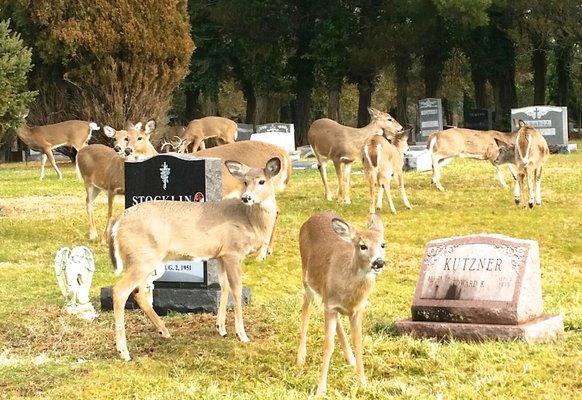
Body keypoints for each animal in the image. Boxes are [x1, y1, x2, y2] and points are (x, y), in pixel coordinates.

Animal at [110, 158, 286, 360]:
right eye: (245, 182)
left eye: (262, 181)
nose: (246, 198)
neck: (249, 220)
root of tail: (117, 223)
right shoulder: (233, 252)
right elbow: (237, 290)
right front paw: (241, 334)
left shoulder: (221, 255)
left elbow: (224, 287)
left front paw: (221, 328)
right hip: (143, 258)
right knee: (120, 291)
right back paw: (124, 351)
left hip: (146, 260)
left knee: (139, 292)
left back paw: (164, 331)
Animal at [298, 212, 390, 396]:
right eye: (362, 246)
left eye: (383, 244)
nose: (378, 262)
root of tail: (313, 216)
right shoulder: (330, 307)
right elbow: (328, 345)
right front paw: (320, 390)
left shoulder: (358, 309)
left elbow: (358, 342)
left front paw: (363, 382)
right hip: (306, 276)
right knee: (305, 306)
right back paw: (301, 357)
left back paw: (351, 359)